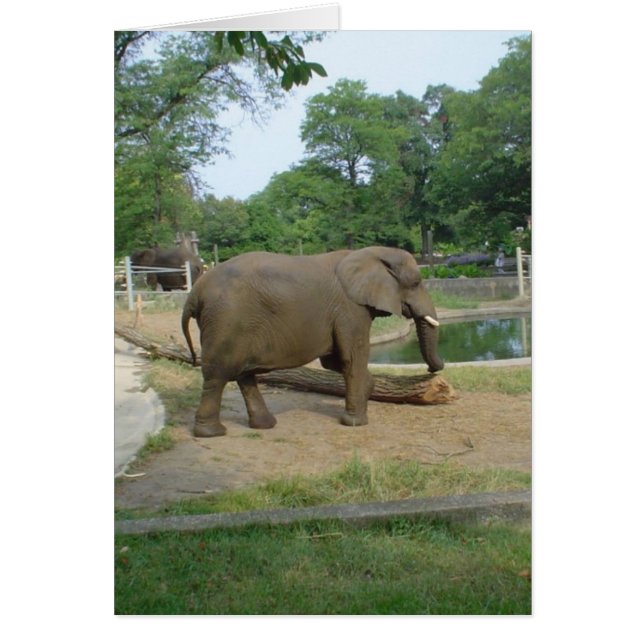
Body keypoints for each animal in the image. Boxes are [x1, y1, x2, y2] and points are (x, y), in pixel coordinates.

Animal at [182, 246, 443, 437]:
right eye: (416, 283)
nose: (433, 371)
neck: (372, 252)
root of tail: (194, 293)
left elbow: (333, 361)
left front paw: (367, 389)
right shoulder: (350, 309)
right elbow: (351, 358)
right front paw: (355, 423)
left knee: (244, 375)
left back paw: (265, 425)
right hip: (225, 321)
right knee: (218, 375)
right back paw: (211, 433)